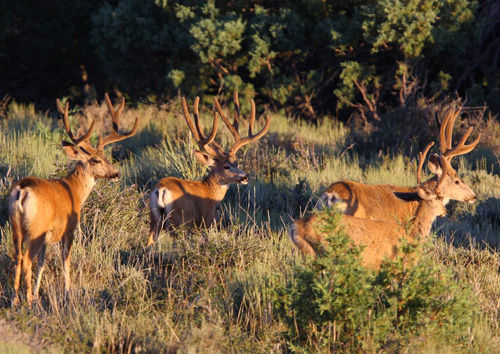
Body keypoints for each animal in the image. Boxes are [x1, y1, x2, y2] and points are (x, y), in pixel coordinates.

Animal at [7, 94, 140, 306]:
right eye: (96, 160)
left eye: (106, 157)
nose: (116, 174)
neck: (75, 191)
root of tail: (21, 190)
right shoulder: (68, 229)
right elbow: (65, 261)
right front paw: (67, 292)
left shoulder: (48, 236)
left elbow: (42, 263)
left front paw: (37, 292)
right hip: (36, 228)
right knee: (27, 259)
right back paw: (29, 301)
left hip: (16, 227)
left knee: (17, 256)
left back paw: (15, 299)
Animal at [146, 91, 272, 246]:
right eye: (226, 166)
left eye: (236, 163)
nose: (245, 177)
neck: (210, 191)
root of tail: (161, 189)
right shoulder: (207, 221)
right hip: (177, 219)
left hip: (154, 216)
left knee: (149, 242)